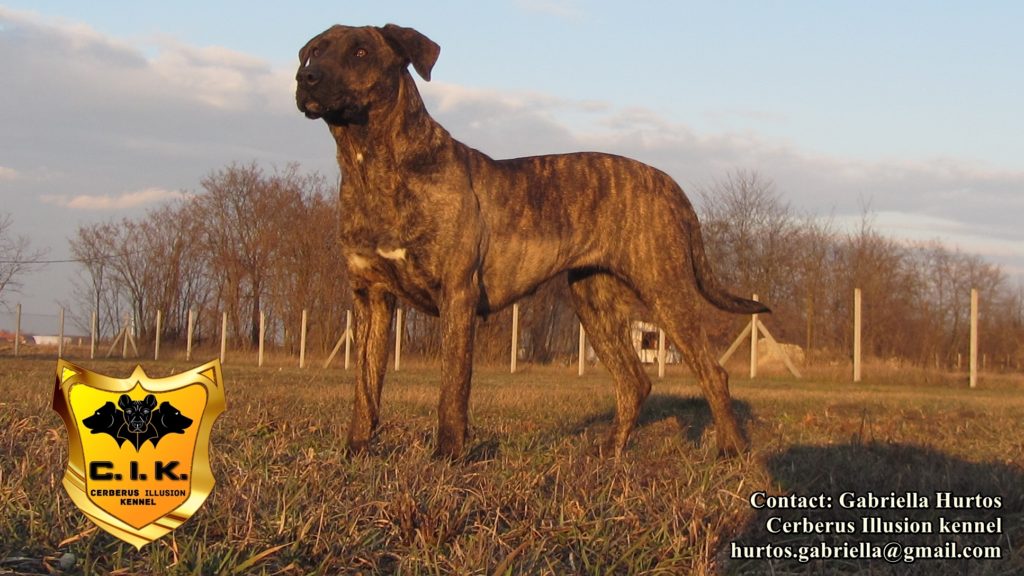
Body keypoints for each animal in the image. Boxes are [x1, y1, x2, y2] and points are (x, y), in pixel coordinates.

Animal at [296, 24, 770, 459]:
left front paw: (447, 456)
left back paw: (731, 449)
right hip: (594, 302)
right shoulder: (371, 296)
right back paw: (608, 452)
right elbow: (365, 387)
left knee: (711, 372)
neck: (372, 165)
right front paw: (356, 452)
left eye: (360, 52)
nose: (306, 77)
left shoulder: (457, 293)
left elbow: (453, 388)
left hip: (665, 289)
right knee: (634, 381)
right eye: (315, 50)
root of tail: (670, 184)